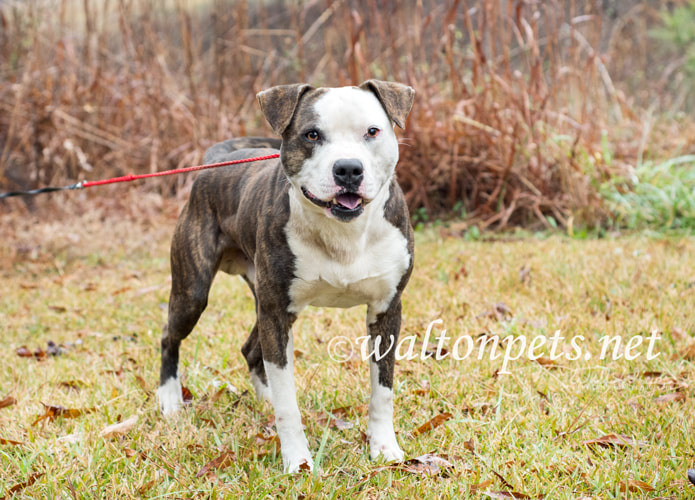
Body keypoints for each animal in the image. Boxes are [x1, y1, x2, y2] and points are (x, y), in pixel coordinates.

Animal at [157, 79, 416, 472]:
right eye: (312, 134)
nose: (348, 169)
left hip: (261, 298)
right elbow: (288, 405)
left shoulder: (386, 309)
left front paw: (384, 448)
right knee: (170, 337)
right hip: (194, 292)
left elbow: (382, 390)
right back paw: (170, 399)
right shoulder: (277, 314)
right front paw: (299, 462)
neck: (344, 233)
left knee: (252, 349)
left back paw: (263, 399)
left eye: (372, 131)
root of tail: (216, 159)